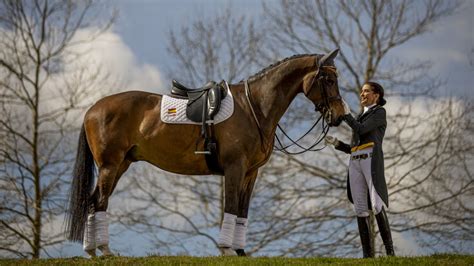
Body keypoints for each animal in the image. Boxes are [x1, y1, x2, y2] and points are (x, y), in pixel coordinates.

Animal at [65, 49, 344, 256]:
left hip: (121, 165)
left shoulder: (251, 173)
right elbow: (230, 207)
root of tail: (93, 109)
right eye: (329, 80)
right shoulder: (235, 168)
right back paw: (104, 250)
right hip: (110, 166)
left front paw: (240, 252)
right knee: (100, 202)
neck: (254, 107)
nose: (340, 116)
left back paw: (92, 251)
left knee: (93, 201)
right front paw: (227, 250)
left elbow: (242, 211)